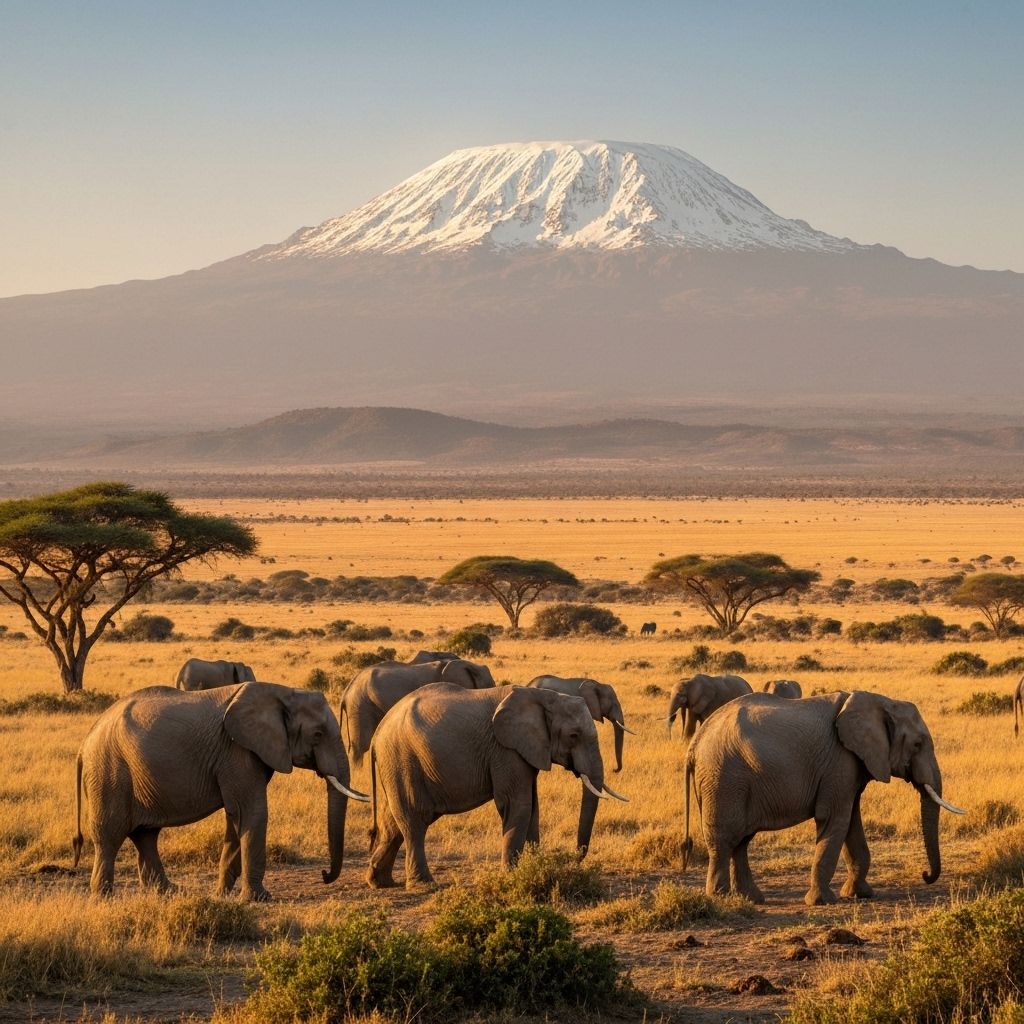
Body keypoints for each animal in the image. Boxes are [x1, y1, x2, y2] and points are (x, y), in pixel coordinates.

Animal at [73, 682, 368, 899]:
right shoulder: (237, 751)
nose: (324, 875)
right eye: (317, 734)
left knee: (146, 835)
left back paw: (169, 892)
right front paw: (259, 899)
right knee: (110, 834)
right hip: (109, 770)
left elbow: (236, 816)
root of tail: (84, 744)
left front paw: (222, 894)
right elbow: (252, 812)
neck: (283, 693)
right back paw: (104, 896)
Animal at [366, 684, 628, 889]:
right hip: (402, 758)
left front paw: (533, 867)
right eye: (573, 735)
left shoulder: (526, 749)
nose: (574, 858)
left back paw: (379, 882)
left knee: (393, 822)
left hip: (397, 763)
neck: (544, 697)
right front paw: (512, 877)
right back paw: (423, 885)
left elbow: (532, 807)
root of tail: (377, 734)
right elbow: (517, 804)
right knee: (414, 819)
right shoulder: (505, 749)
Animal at [683, 690, 965, 906]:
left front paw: (861, 894)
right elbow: (835, 820)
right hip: (724, 779)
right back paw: (721, 899)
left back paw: (752, 899)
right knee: (725, 838)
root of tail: (695, 744)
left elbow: (852, 822)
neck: (881, 701)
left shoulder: (852, 764)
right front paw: (823, 902)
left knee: (741, 841)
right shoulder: (840, 761)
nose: (925, 874)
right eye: (917, 745)